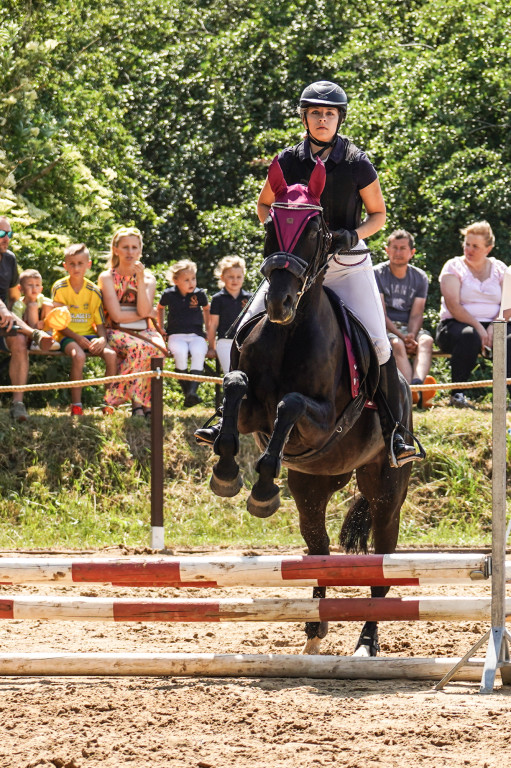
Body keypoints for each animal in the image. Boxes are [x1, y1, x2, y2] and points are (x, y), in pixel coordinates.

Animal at [208, 156, 412, 656]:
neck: (291, 331)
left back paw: (365, 642)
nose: (279, 302)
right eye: (271, 223)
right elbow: (236, 386)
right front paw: (227, 472)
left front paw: (261, 486)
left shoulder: (322, 421)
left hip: (385, 491)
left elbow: (291, 403)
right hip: (312, 486)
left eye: (316, 227)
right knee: (319, 551)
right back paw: (315, 632)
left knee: (381, 566)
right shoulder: (252, 411)